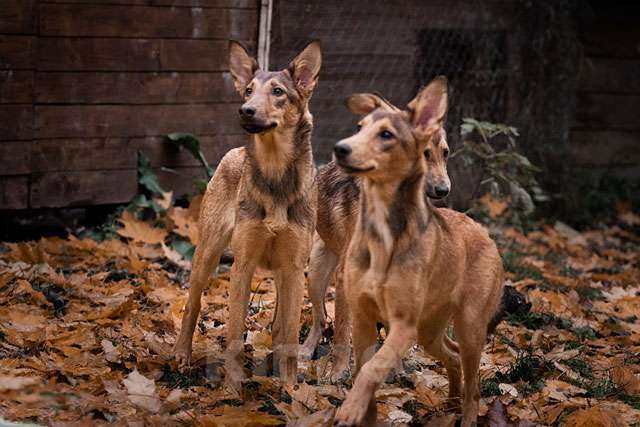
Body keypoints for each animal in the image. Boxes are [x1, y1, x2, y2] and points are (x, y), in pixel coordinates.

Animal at [171, 40, 322, 394]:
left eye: (278, 91)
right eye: (249, 90)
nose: (246, 110)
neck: (275, 174)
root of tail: (235, 152)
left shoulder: (294, 268)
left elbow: (289, 334)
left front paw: (290, 390)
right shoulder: (243, 264)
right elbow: (234, 333)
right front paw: (231, 387)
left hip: (284, 274)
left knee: (279, 327)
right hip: (207, 254)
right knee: (193, 304)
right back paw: (183, 355)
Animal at [298, 100, 450, 384]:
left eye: (444, 153)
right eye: (424, 153)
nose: (443, 190)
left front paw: (397, 371)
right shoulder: (346, 277)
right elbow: (342, 334)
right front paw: (337, 373)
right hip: (316, 275)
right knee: (320, 319)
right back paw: (305, 351)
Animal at [332, 77, 502, 427]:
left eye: (386, 134)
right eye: (359, 127)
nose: (340, 148)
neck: (382, 234)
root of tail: (483, 231)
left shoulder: (402, 325)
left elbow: (371, 370)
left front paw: (350, 408)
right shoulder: (363, 317)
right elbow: (362, 371)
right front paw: (360, 412)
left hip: (469, 326)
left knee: (474, 386)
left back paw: (465, 414)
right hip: (429, 330)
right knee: (452, 357)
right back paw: (449, 402)